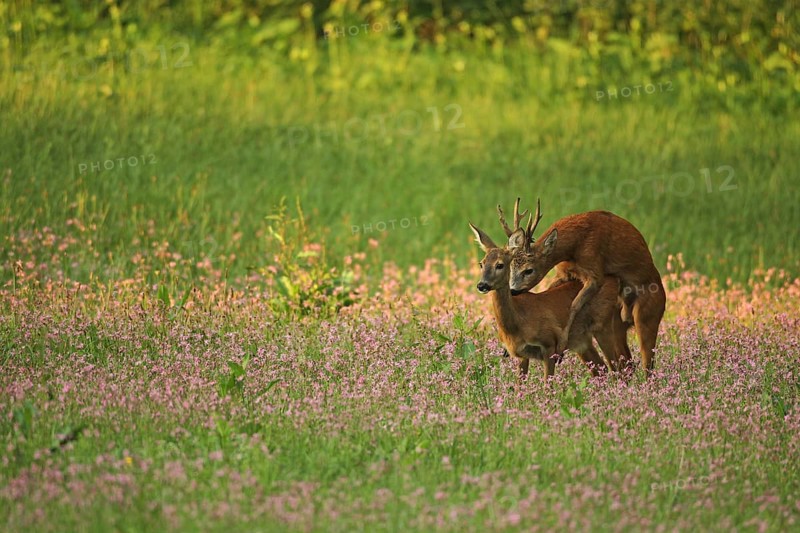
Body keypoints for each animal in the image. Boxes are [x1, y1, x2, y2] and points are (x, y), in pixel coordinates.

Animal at [470, 204, 632, 380]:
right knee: (604, 368)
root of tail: (613, 278)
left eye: (500, 265)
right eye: (481, 264)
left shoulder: (549, 346)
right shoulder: (520, 354)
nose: (482, 285)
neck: (518, 323)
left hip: (603, 325)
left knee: (620, 367)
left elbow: (548, 382)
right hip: (582, 342)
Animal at [503, 198, 666, 377]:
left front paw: (561, 345)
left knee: (647, 365)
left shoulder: (594, 271)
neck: (575, 245)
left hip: (647, 315)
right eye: (510, 266)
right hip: (617, 325)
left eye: (529, 270)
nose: (513, 290)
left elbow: (574, 305)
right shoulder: (564, 273)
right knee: (626, 363)